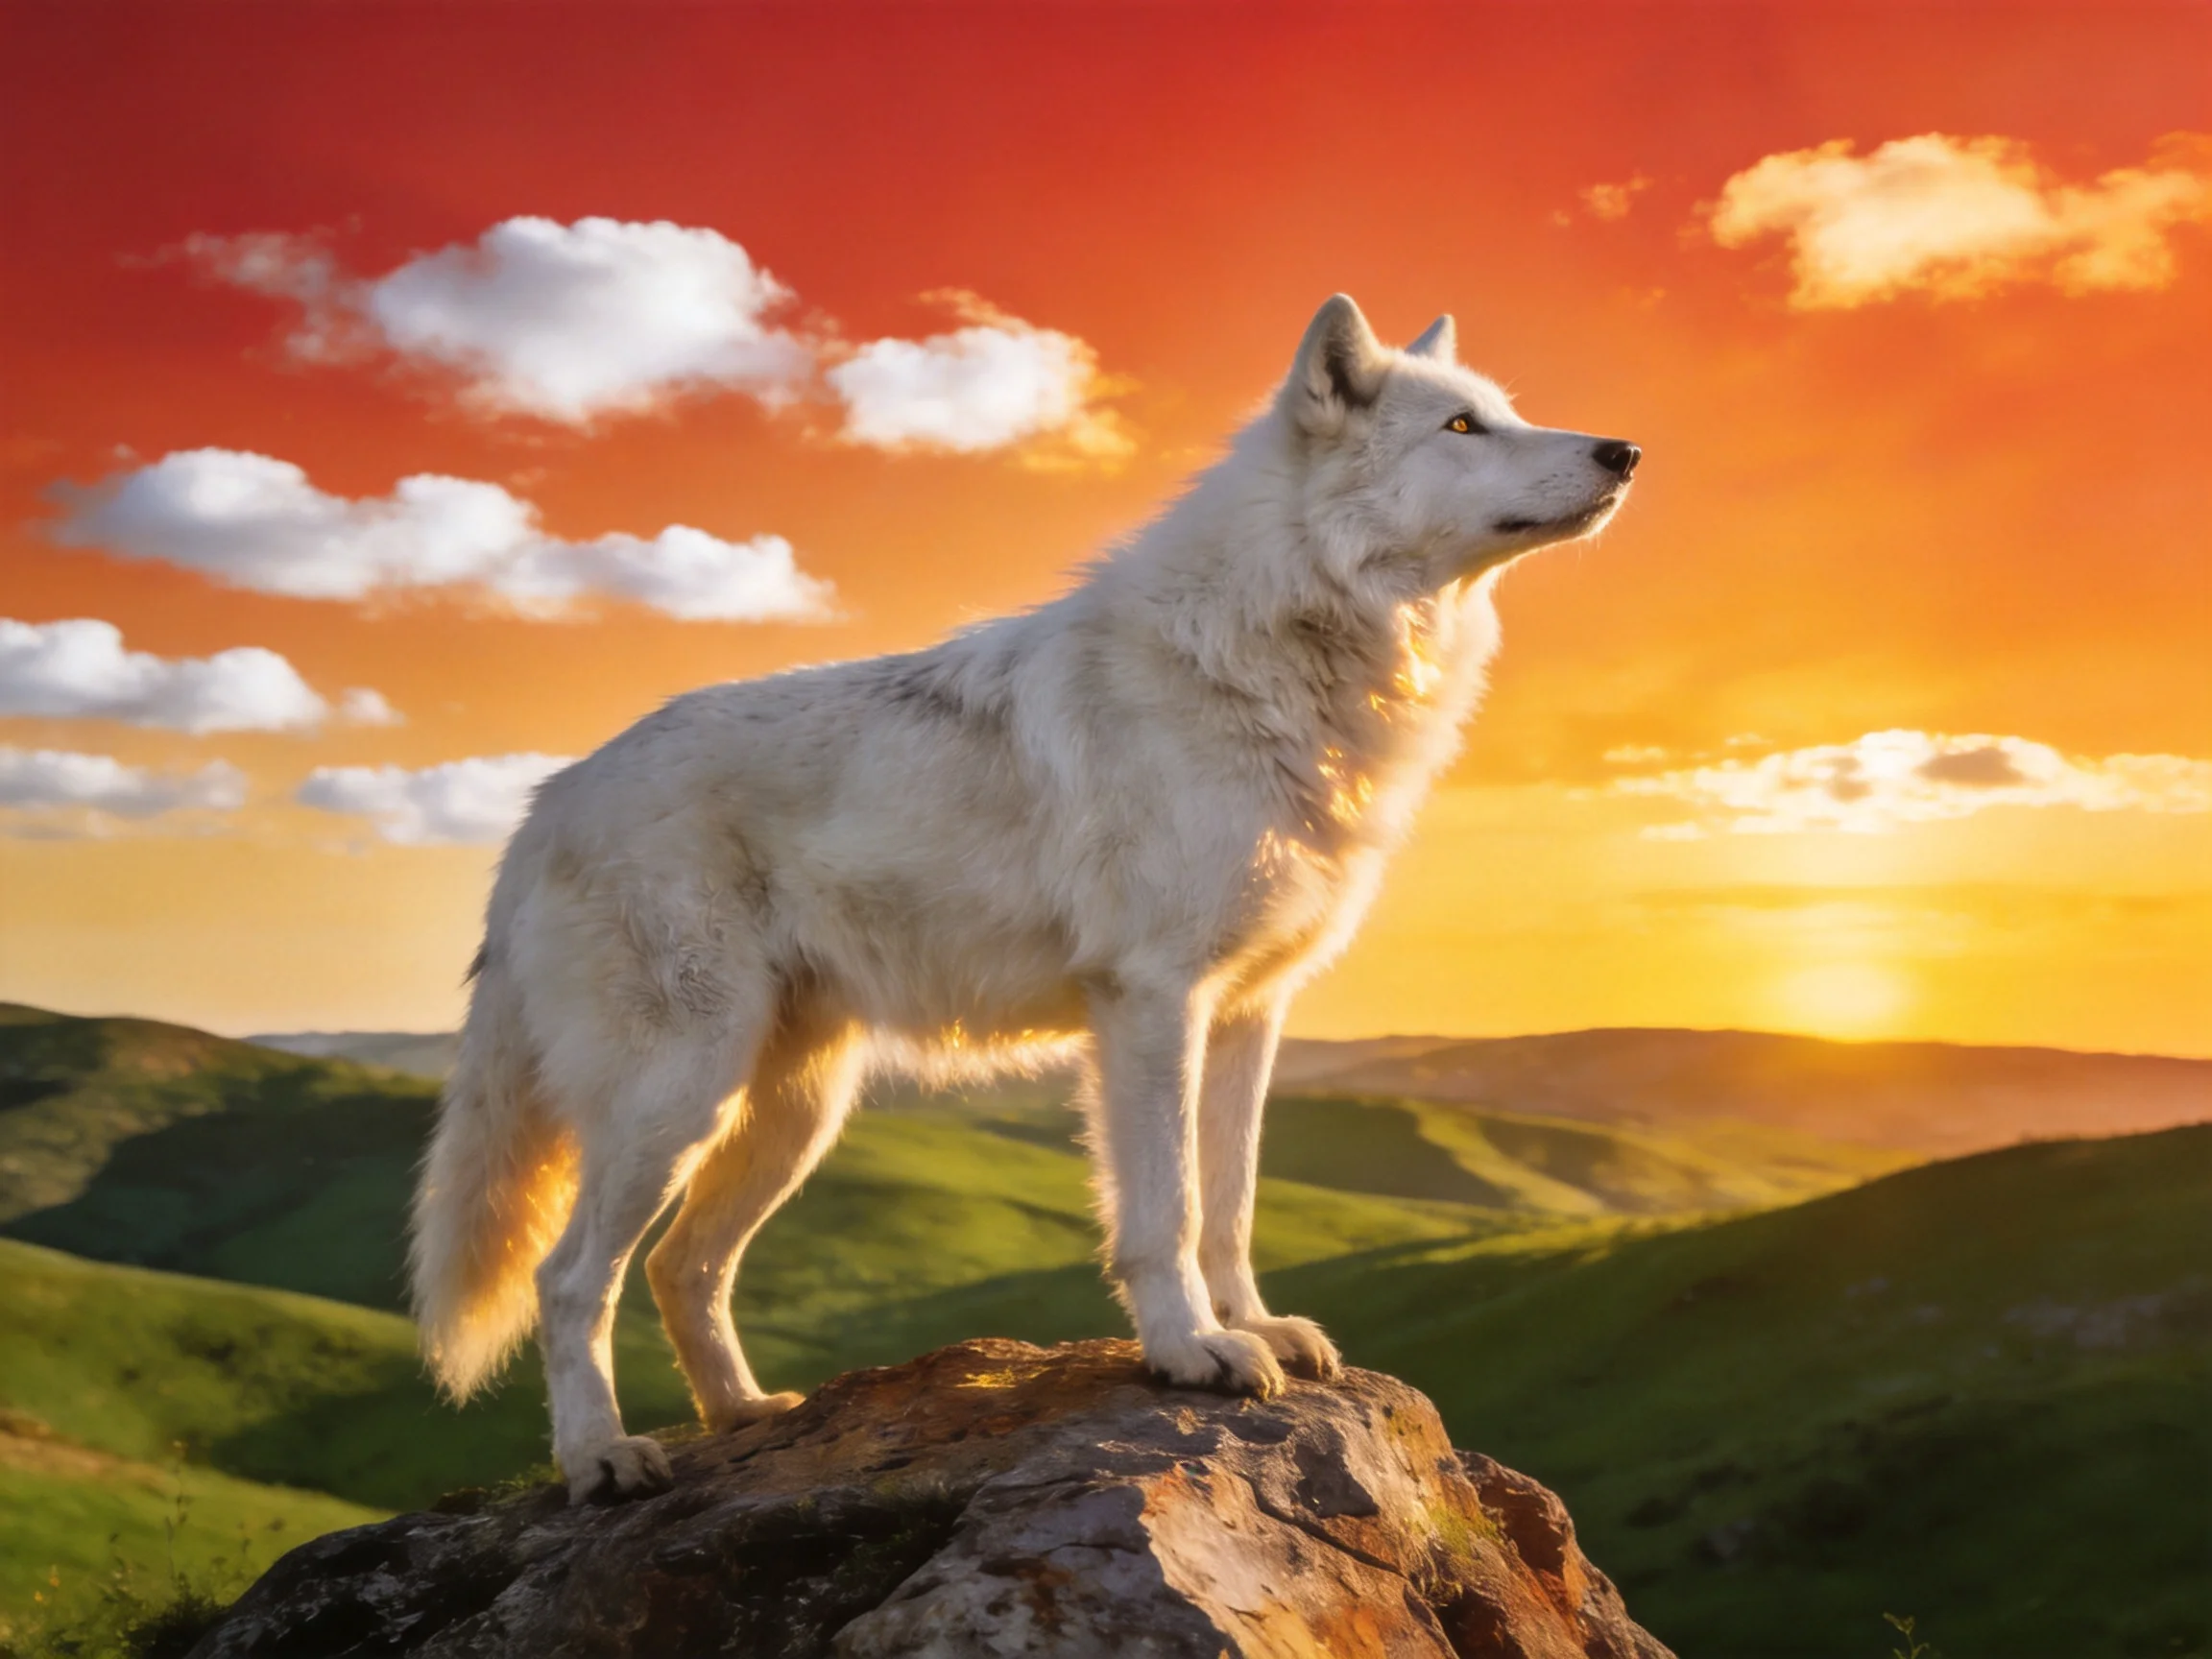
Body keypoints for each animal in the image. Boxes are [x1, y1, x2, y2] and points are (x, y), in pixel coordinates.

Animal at [408, 294, 1639, 1501]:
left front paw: (1257, 1329)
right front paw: (1193, 1351)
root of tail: (546, 803)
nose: (1625, 450)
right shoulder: (1152, 1002)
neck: (1281, 648)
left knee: (682, 1264)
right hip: (678, 1098)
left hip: (792, 1112)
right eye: (1463, 427)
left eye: (1506, 411)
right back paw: (601, 1459)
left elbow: (1232, 1203)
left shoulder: (1249, 1013)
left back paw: (746, 1416)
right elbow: (1168, 1210)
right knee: (571, 1278)